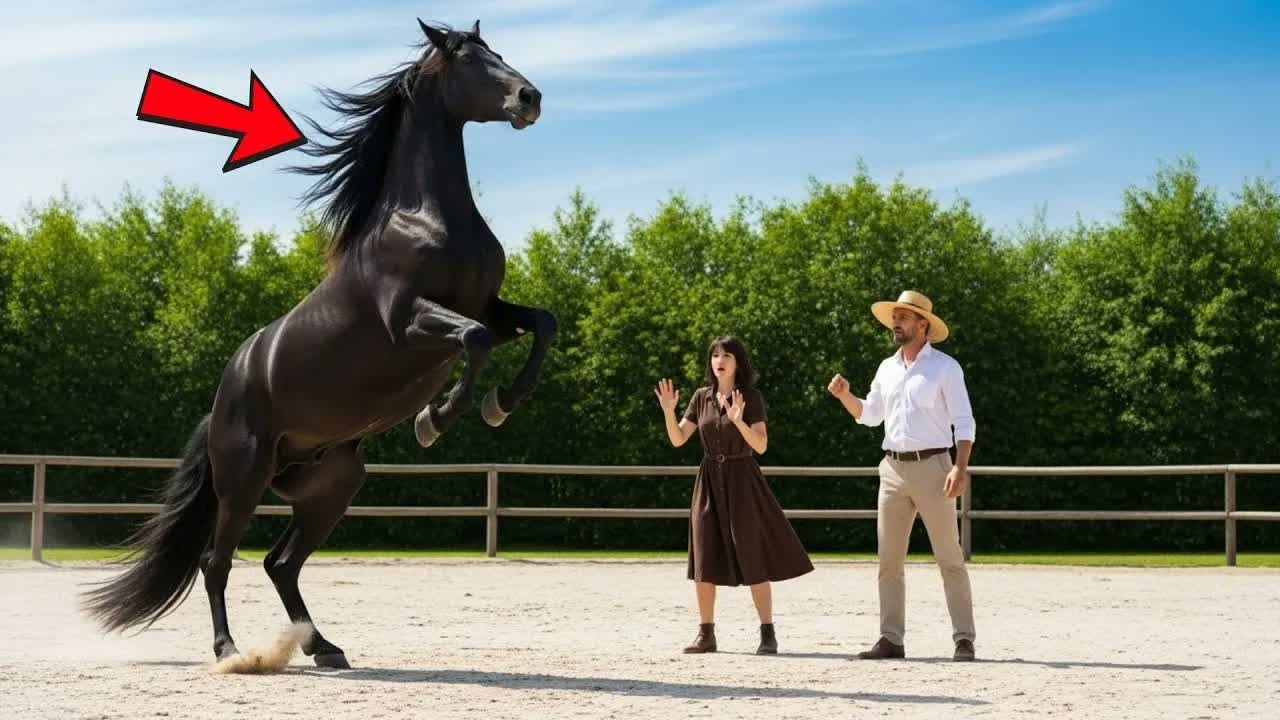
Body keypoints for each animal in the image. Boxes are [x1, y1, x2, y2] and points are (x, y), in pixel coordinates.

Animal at [81, 18, 556, 669]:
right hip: (244, 480)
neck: (428, 218)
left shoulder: (490, 307)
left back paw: (323, 647)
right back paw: (231, 651)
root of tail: (221, 403)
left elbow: (541, 324)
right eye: (466, 58)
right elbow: (475, 340)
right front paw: (434, 419)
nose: (528, 98)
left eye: (498, 52)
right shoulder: (409, 323)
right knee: (216, 561)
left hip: (330, 486)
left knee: (280, 563)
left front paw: (499, 404)